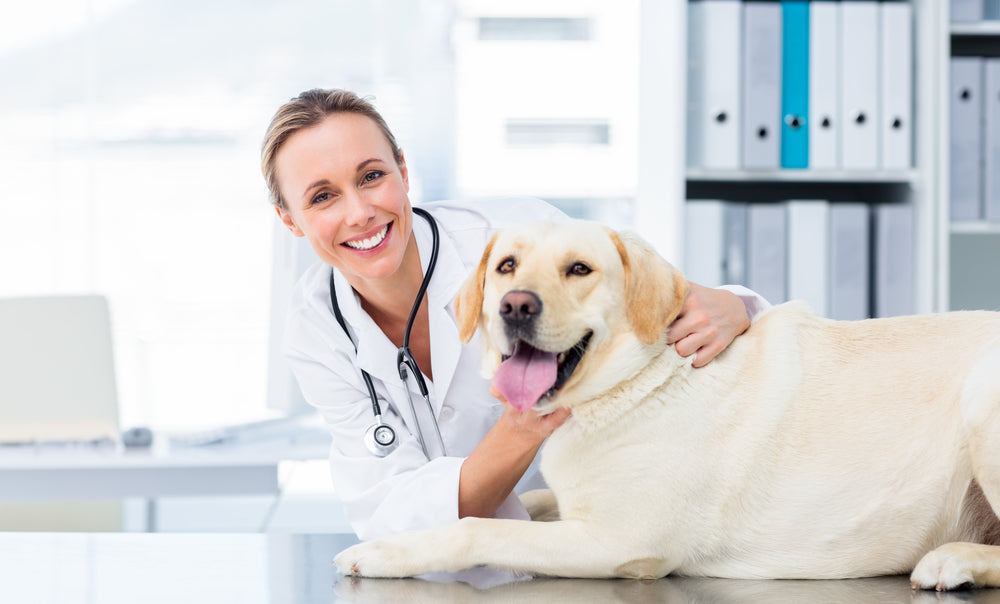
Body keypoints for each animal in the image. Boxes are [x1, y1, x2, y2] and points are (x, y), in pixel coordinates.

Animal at [336, 221, 1000, 588]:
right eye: (506, 265)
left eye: (579, 269)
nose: (515, 305)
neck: (636, 382)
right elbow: (526, 500)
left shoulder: (617, 542)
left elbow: (474, 528)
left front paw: (380, 552)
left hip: (980, 403)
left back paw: (951, 562)